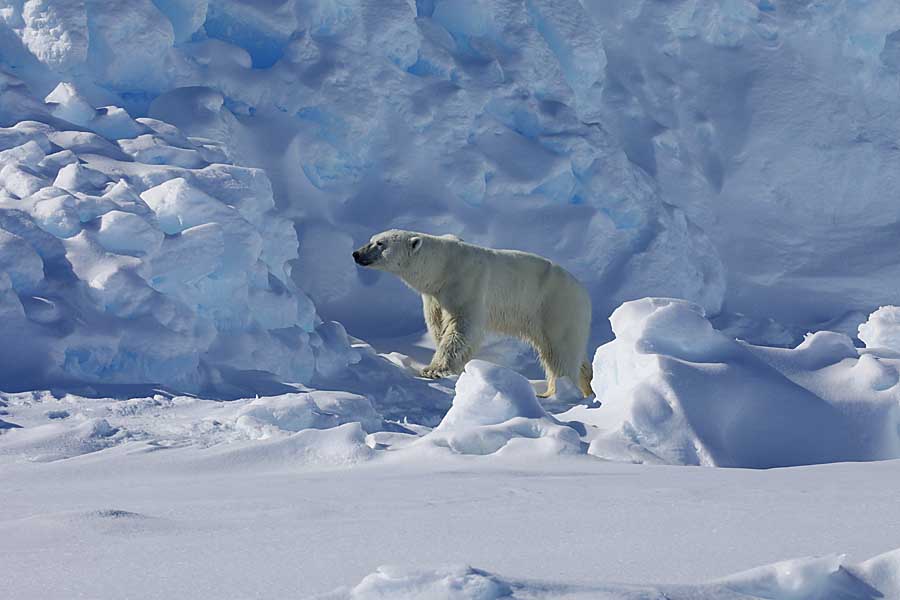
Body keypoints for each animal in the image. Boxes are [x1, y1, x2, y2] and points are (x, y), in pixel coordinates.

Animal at [356, 230, 596, 398]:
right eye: (372, 239)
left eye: (380, 243)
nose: (356, 254)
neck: (442, 266)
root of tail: (584, 292)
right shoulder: (434, 296)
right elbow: (437, 325)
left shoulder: (466, 283)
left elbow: (461, 328)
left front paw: (434, 369)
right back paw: (588, 386)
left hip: (556, 307)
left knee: (559, 352)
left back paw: (553, 391)